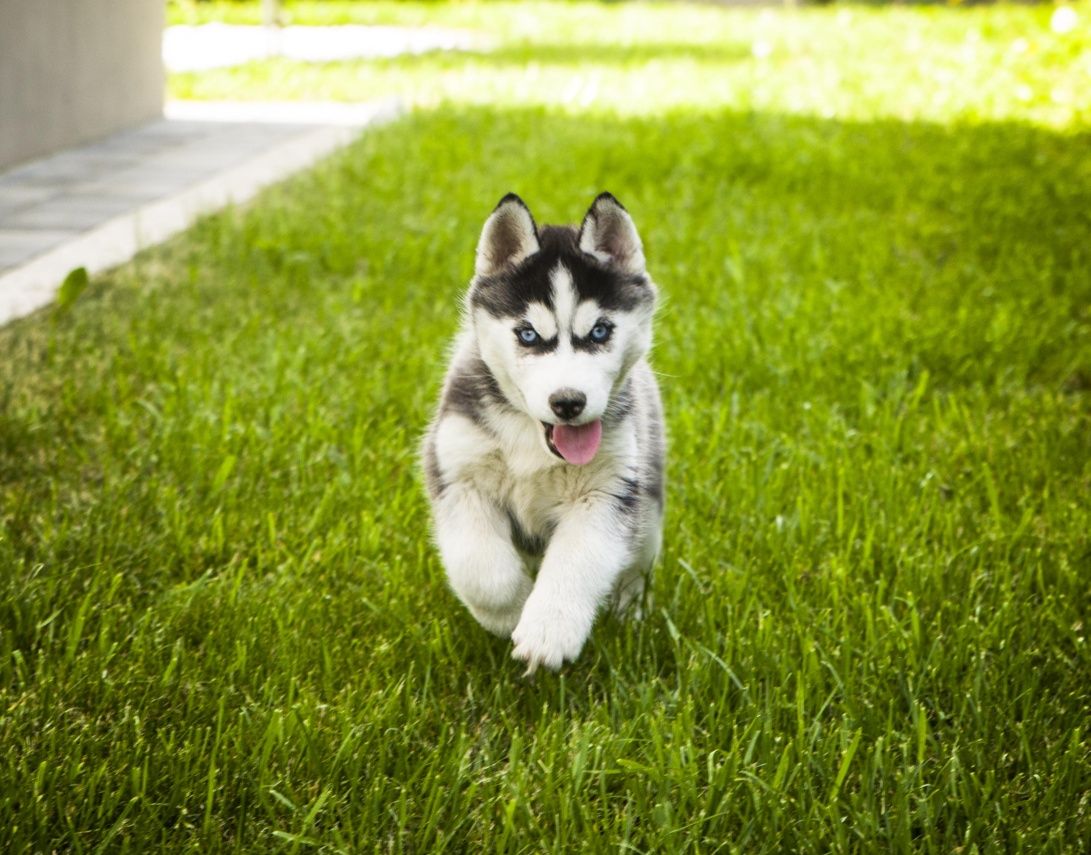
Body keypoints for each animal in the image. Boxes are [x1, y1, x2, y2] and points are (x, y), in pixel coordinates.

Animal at [421, 194, 663, 676]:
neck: (534, 440)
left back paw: (629, 614)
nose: (568, 402)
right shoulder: (459, 475)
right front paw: (511, 611)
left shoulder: (605, 493)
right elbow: (482, 572)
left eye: (600, 331)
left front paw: (548, 633)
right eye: (528, 334)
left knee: (637, 566)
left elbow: (577, 562)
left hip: (648, 506)